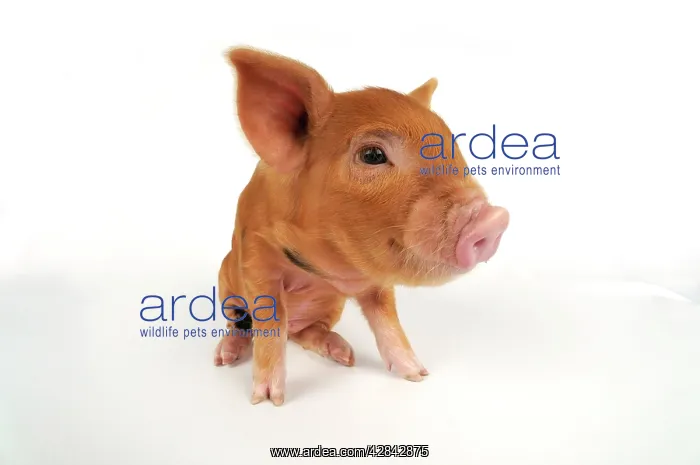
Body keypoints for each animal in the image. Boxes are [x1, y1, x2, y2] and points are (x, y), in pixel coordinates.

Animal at [213, 46, 510, 406]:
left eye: (454, 149)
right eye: (372, 155)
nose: (493, 218)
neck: (328, 266)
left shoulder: (377, 278)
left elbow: (387, 321)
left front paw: (418, 374)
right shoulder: (255, 254)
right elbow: (269, 325)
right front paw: (268, 401)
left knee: (307, 332)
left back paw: (344, 354)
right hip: (225, 282)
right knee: (240, 325)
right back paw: (225, 356)